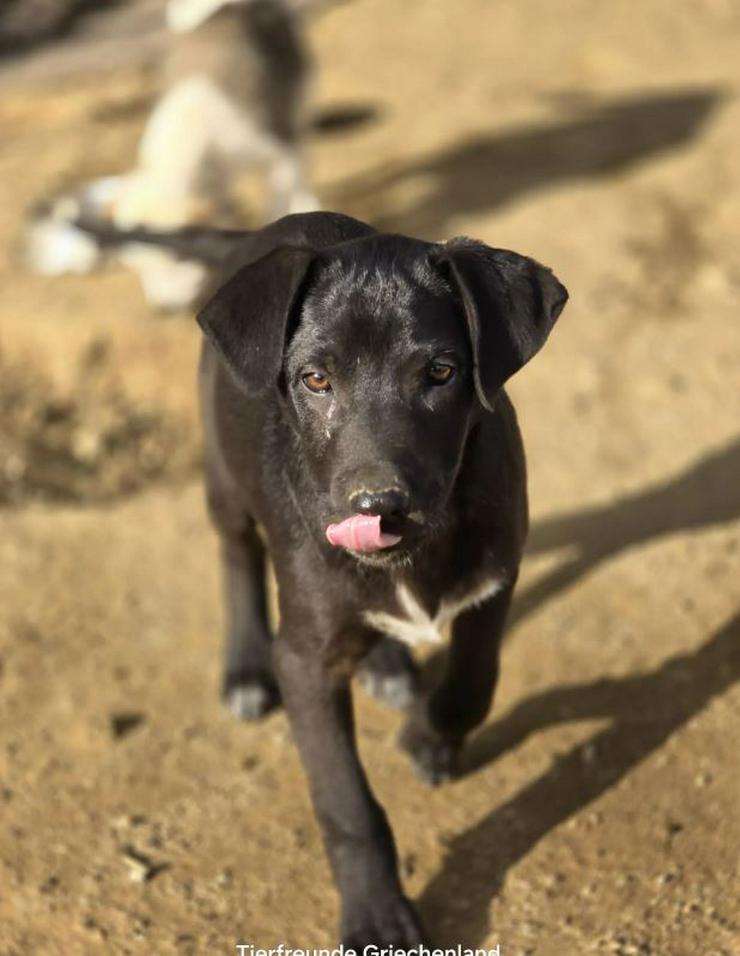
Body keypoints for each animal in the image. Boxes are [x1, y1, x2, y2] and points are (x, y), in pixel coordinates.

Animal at [88, 211, 568, 940]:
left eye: (441, 371)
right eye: (315, 380)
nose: (378, 505)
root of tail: (260, 232)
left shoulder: (495, 577)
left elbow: (473, 686)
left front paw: (428, 738)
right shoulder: (305, 660)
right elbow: (347, 804)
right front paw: (377, 914)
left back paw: (387, 666)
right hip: (223, 476)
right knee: (236, 555)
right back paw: (246, 669)